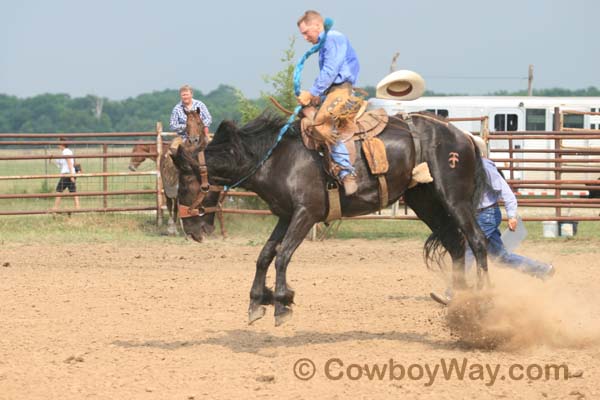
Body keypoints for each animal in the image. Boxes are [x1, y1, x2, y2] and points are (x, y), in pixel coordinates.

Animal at [168, 111, 488, 324]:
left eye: (183, 185)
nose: (192, 230)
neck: (277, 158)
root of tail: (466, 137)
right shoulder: (285, 215)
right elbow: (265, 255)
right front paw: (257, 301)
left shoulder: (306, 214)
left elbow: (283, 255)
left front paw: (282, 302)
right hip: (425, 201)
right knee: (455, 245)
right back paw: (457, 300)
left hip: (453, 199)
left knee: (477, 241)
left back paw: (484, 298)